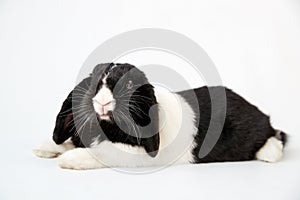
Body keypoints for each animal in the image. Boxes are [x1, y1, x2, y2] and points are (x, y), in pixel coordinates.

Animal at [33, 63, 288, 170]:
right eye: (94, 82)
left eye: (129, 84)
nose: (103, 102)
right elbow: (69, 142)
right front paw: (45, 147)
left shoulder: (135, 155)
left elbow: (104, 152)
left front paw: (70, 159)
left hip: (255, 131)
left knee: (275, 135)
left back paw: (269, 154)